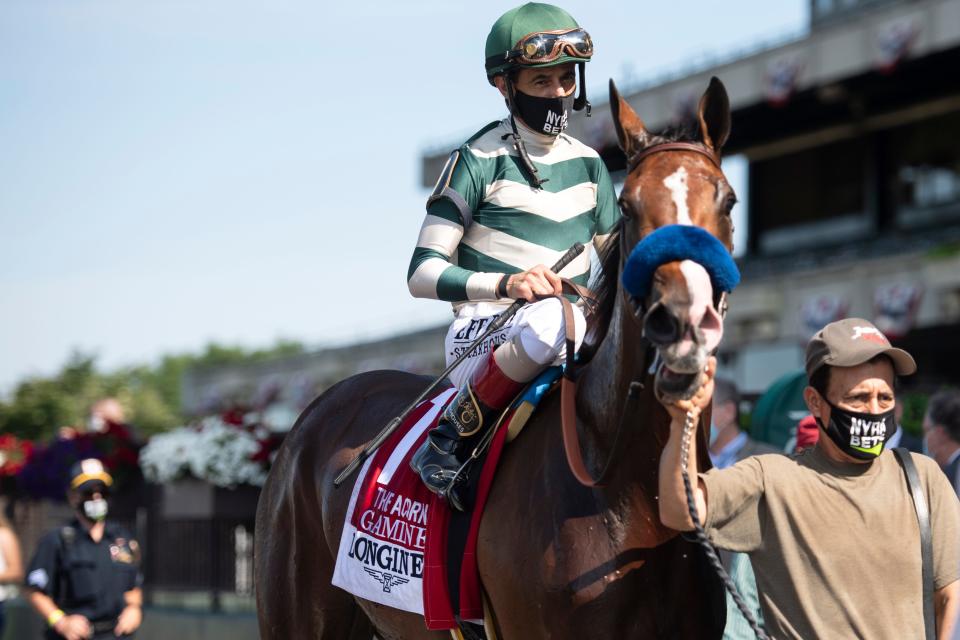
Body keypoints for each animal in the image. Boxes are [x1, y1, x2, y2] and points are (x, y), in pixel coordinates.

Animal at [255, 76, 736, 640]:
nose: (681, 322)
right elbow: (429, 265)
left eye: (727, 200)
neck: (624, 484)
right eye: (629, 205)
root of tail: (315, 410)